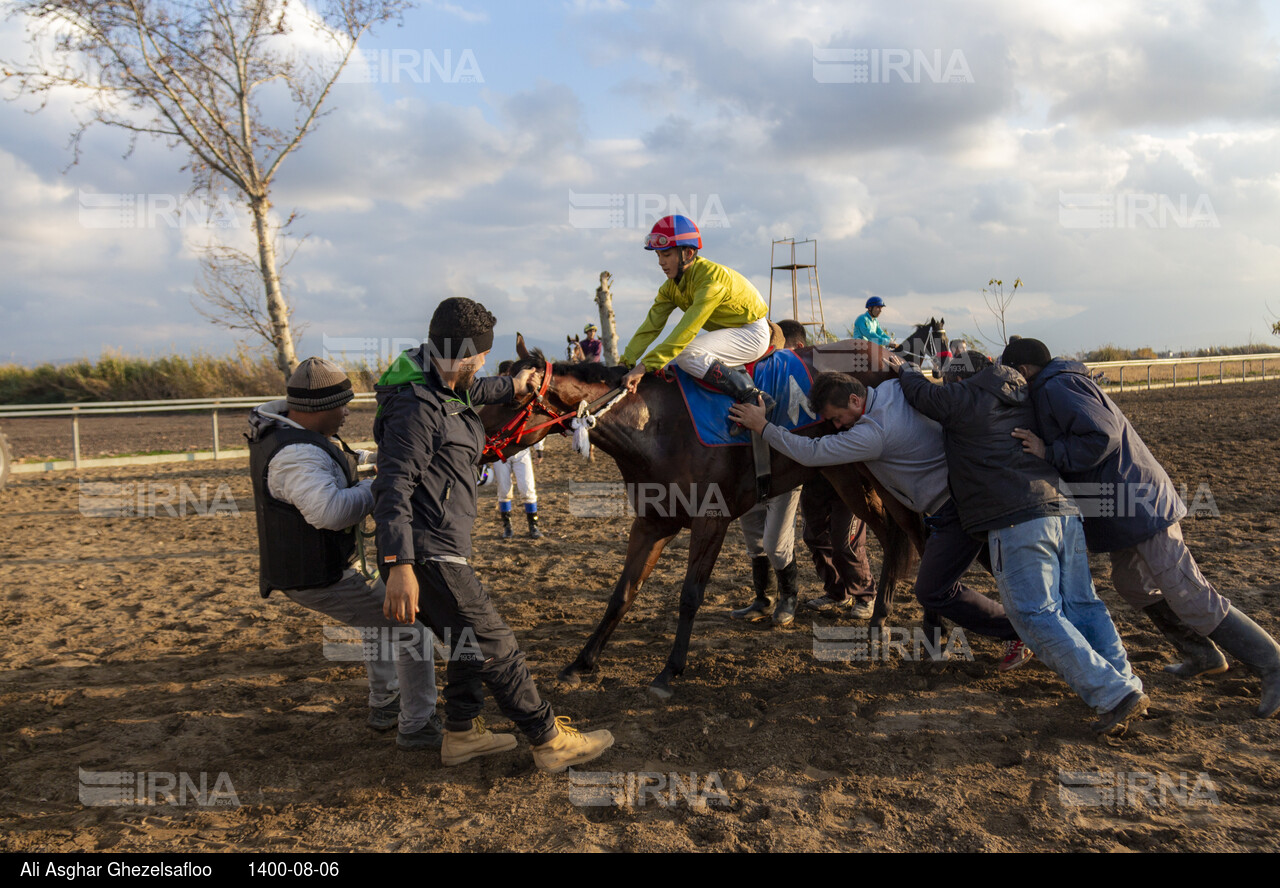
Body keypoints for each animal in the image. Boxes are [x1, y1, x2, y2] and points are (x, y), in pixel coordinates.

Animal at [483, 337, 926, 701]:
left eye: (512, 398)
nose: (481, 448)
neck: (654, 426)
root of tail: (892, 357)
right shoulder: (652, 523)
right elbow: (622, 593)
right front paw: (581, 663)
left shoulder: (712, 520)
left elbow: (690, 596)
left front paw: (669, 672)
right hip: (843, 470)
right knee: (894, 535)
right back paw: (883, 618)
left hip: (874, 466)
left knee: (909, 530)